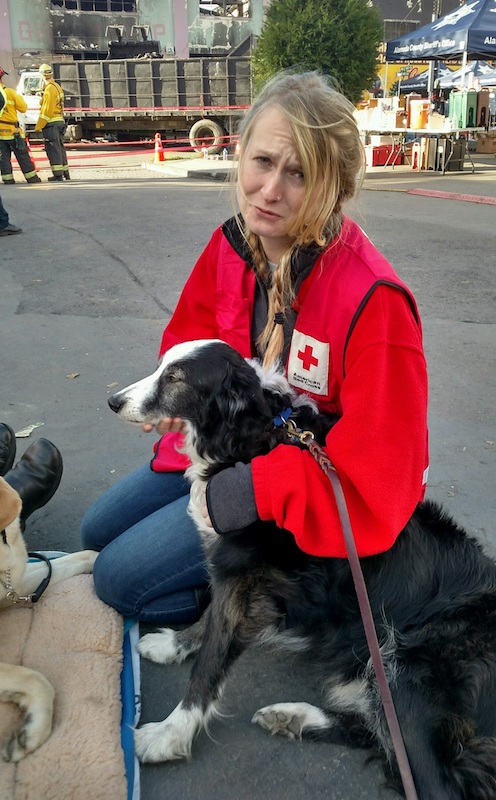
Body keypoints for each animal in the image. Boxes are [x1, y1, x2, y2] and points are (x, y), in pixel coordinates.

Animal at [108, 340, 496, 800]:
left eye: (175, 378)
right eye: (161, 368)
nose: (114, 401)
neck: (250, 435)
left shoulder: (243, 576)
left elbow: (211, 659)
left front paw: (171, 733)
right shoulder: (233, 573)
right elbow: (208, 620)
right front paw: (174, 644)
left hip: (414, 673)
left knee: (434, 781)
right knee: (380, 736)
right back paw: (295, 717)